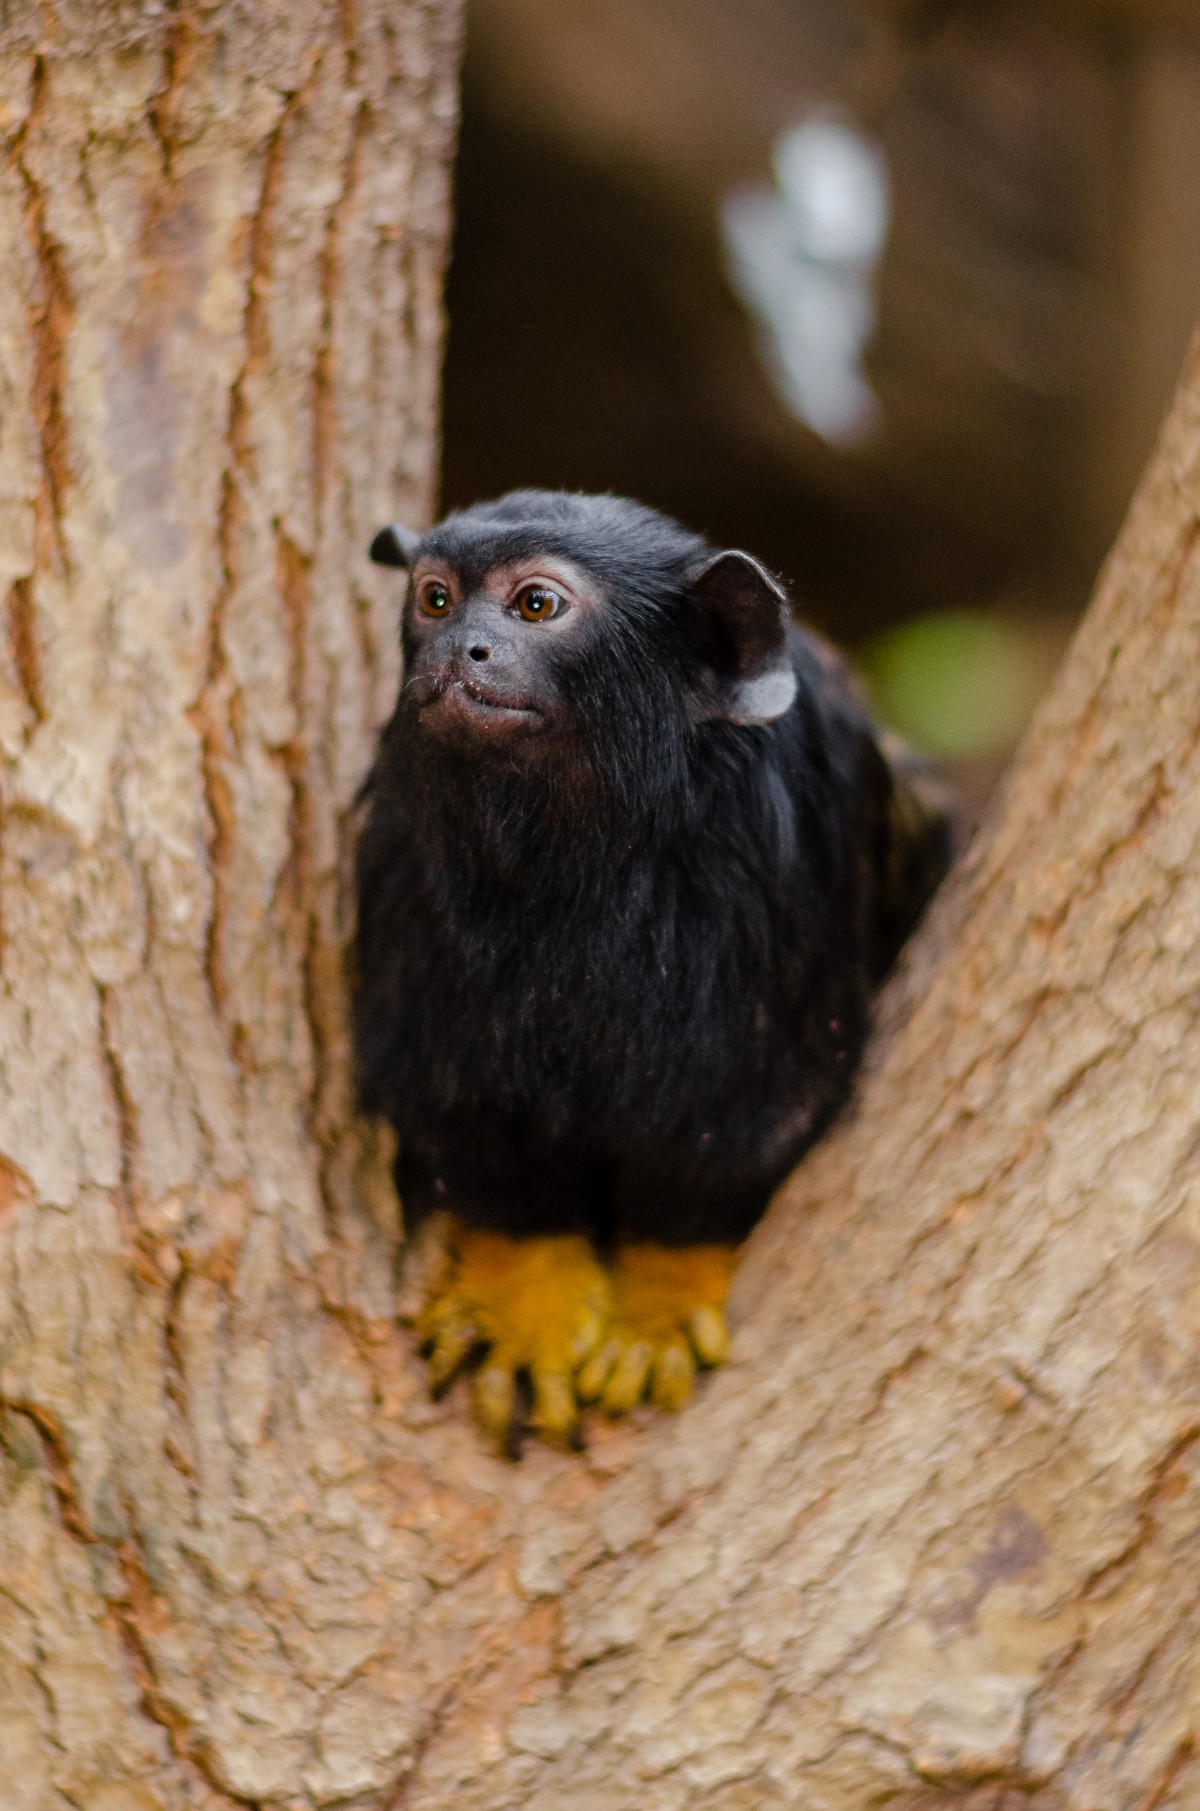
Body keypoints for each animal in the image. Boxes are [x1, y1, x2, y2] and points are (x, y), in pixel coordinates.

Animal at [352, 488, 955, 1448]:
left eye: (535, 605)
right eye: (436, 600)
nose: (460, 650)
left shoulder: (777, 855)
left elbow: (736, 1124)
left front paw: (661, 1295)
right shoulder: (401, 860)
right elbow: (470, 1116)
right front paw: (527, 1295)